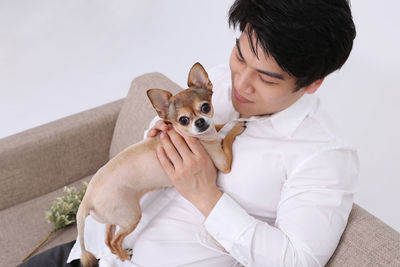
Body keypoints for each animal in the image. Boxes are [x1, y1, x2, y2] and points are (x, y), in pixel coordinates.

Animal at [75, 62, 244, 267]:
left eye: (205, 107)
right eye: (183, 120)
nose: (200, 122)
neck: (201, 137)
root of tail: (87, 199)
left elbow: (219, 126)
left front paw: (226, 123)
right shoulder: (223, 162)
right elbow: (226, 140)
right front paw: (236, 126)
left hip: (113, 218)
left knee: (108, 240)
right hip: (131, 216)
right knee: (115, 240)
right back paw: (125, 256)